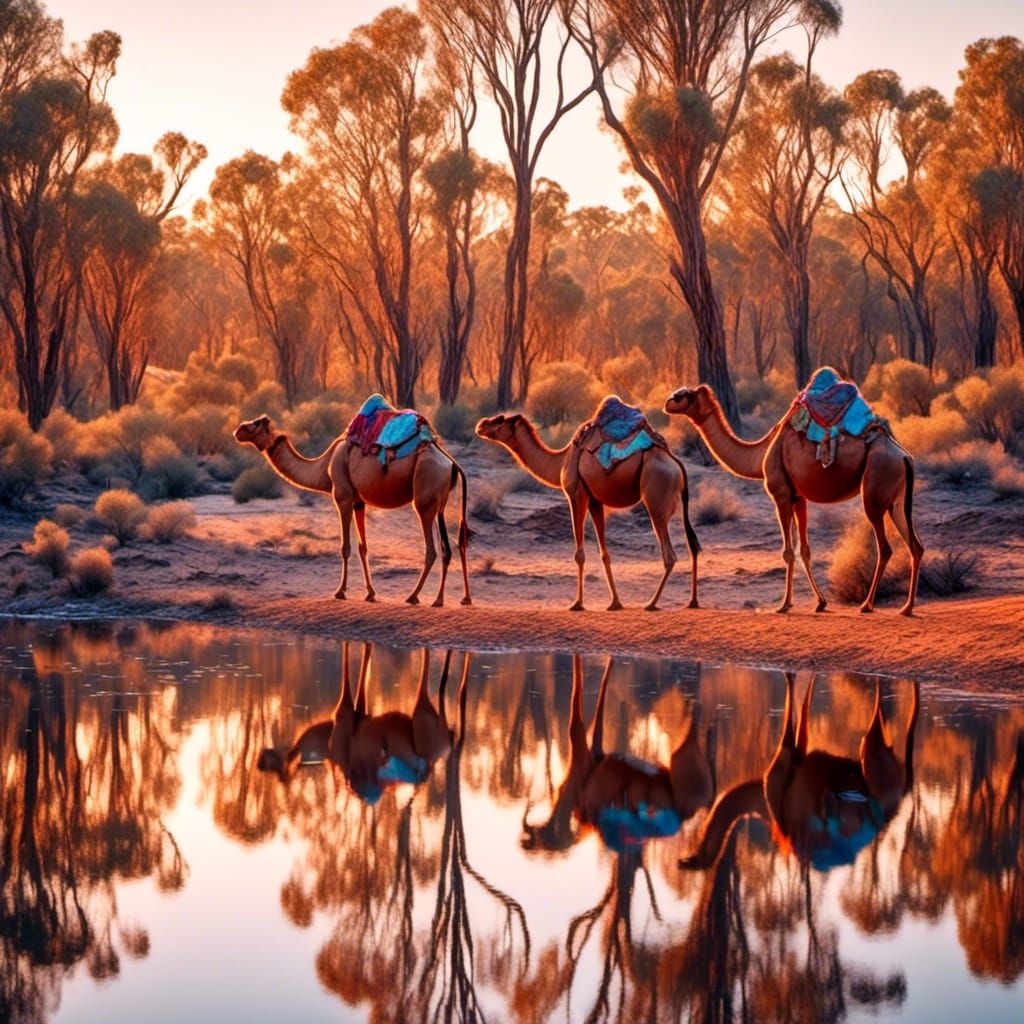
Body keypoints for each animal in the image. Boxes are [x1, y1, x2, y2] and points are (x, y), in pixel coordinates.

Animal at [234, 411, 471, 607]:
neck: (323, 466)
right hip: (439, 505)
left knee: (432, 549)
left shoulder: (343, 496)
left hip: (424, 500)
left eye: (255, 424)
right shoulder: (359, 501)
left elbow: (345, 547)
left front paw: (340, 592)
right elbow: (362, 547)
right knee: (450, 548)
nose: (238, 430)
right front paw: (370, 594)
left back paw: (414, 596)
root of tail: (451, 464)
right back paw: (448, 599)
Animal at [475, 408, 700, 611]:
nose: (481, 425)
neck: (561, 461)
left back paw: (652, 603)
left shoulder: (576, 495)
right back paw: (692, 601)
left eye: (500, 419)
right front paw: (615, 603)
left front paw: (577, 603)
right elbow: (604, 553)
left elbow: (579, 554)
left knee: (669, 555)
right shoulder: (595, 501)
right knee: (693, 547)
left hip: (656, 503)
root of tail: (677, 465)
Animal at [663, 381, 924, 615]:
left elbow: (788, 551)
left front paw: (784, 605)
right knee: (916, 545)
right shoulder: (799, 498)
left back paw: (867, 605)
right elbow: (804, 551)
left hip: (874, 493)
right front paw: (820, 603)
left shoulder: (780, 494)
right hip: (896, 502)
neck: (760, 454)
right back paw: (907, 607)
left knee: (885, 548)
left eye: (683, 395)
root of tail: (905, 456)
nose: (667, 403)